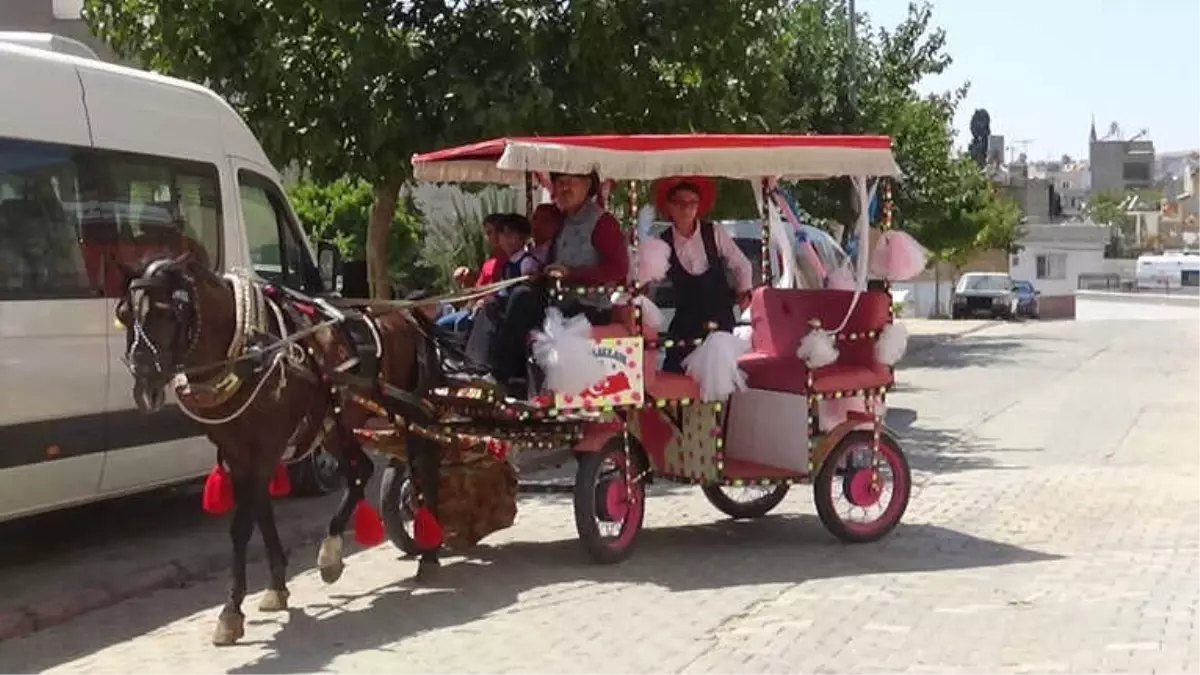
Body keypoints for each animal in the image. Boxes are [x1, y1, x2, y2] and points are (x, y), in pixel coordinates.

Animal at [115, 253, 446, 648]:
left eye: (167, 313)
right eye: (124, 314)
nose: (144, 389)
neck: (248, 349)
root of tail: (406, 313)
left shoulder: (266, 445)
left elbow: (242, 526)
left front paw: (231, 612)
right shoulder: (238, 450)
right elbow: (261, 513)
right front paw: (275, 587)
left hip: (409, 409)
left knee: (422, 464)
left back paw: (428, 553)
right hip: (333, 421)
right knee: (361, 471)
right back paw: (331, 553)